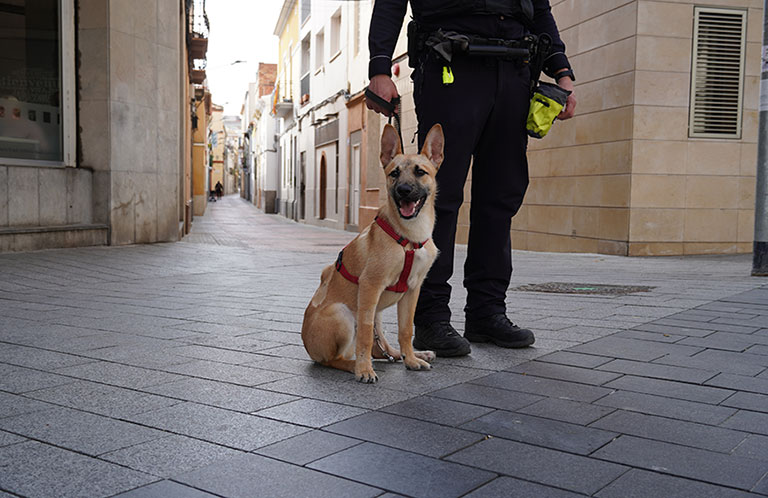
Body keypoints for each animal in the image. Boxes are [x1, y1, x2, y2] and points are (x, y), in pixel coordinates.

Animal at [302, 122, 444, 384]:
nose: (404, 191)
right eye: (394, 173)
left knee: (381, 347)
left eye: (420, 172)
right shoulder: (370, 285)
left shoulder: (413, 290)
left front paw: (410, 359)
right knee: (334, 359)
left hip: (376, 311)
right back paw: (354, 364)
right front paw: (364, 369)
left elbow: (406, 329)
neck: (408, 237)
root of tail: (307, 344)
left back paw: (405, 355)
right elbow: (366, 336)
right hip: (343, 313)